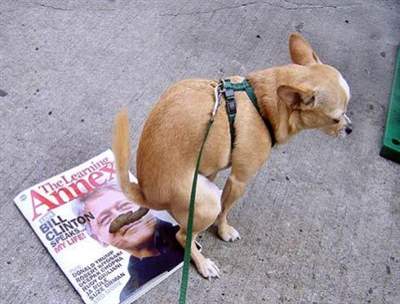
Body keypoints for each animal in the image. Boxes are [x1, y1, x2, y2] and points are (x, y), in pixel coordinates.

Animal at [111, 32, 350, 278]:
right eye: (335, 119)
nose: (349, 128)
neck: (261, 103)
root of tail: (145, 193)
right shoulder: (239, 180)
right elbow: (225, 210)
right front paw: (224, 230)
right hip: (207, 200)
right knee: (183, 235)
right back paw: (203, 262)